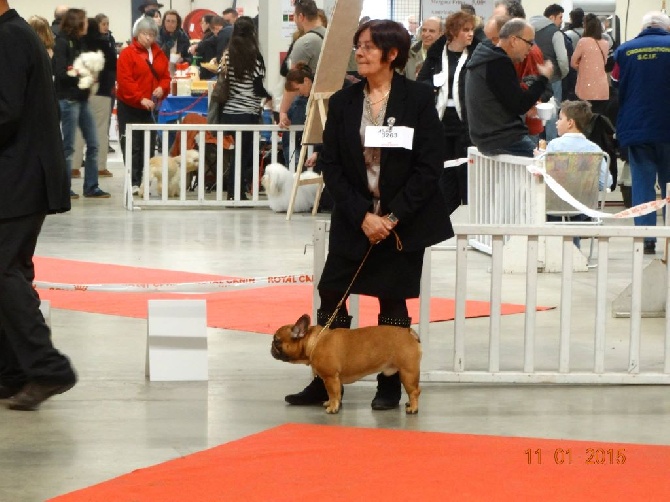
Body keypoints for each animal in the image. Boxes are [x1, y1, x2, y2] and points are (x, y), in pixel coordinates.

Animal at [270, 314, 422, 416]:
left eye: (277, 341)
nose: (271, 347)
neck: (314, 342)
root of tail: (408, 332)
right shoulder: (332, 379)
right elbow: (333, 394)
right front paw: (330, 403)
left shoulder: (330, 378)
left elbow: (333, 393)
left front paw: (333, 408)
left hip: (408, 372)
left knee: (414, 391)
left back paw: (413, 408)